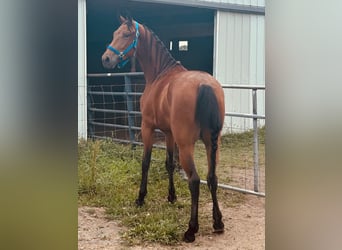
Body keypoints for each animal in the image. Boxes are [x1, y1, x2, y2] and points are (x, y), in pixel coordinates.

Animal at [100, 15, 226, 242]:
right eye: (115, 33)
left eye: (126, 34)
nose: (106, 59)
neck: (160, 75)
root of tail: (204, 85)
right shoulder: (168, 133)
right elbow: (169, 163)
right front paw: (171, 197)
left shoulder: (148, 128)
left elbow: (146, 162)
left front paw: (140, 198)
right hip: (213, 143)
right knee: (212, 178)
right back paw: (218, 222)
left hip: (186, 145)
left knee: (195, 180)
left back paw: (191, 229)